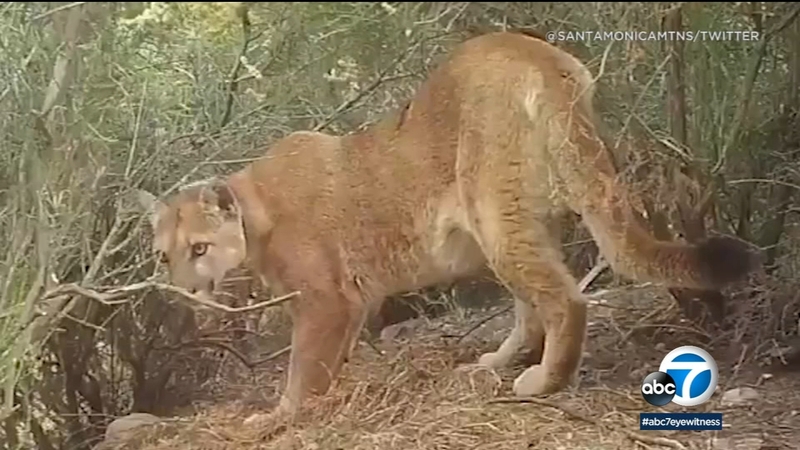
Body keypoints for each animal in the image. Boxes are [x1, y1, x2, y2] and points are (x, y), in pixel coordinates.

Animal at [137, 31, 757, 417]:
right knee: (533, 303)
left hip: (494, 214)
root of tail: (530, 49)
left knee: (565, 299)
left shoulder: (324, 299)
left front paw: (279, 416)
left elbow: (301, 365)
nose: (182, 290)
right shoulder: (354, 300)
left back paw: (541, 382)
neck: (257, 211)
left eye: (198, 249)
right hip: (521, 218)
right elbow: (332, 359)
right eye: (164, 255)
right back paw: (495, 363)